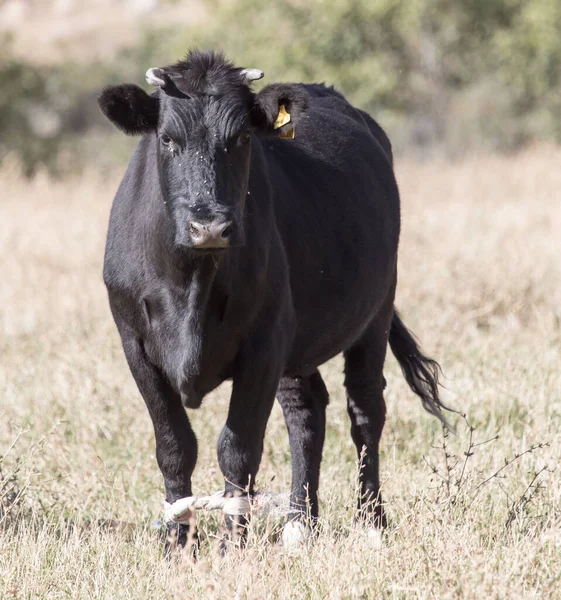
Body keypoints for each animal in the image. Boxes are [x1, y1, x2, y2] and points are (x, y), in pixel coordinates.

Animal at [96, 49, 446, 552]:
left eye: (241, 137)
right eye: (166, 139)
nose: (210, 226)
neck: (191, 284)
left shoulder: (262, 345)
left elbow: (238, 448)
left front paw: (230, 544)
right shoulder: (136, 345)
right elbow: (174, 445)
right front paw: (178, 542)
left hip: (375, 312)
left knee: (365, 410)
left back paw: (371, 522)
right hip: (296, 344)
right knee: (306, 410)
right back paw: (301, 523)